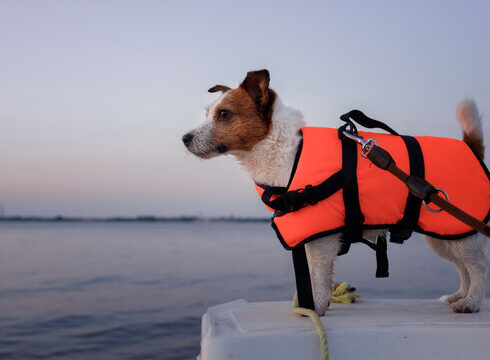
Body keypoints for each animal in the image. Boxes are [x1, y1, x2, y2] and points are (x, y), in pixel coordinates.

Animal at [182, 69, 488, 316]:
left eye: (224, 114)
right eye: (208, 113)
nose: (184, 138)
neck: (286, 151)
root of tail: (471, 147)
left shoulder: (322, 239)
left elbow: (318, 276)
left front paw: (315, 307)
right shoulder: (307, 234)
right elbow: (309, 275)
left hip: (461, 235)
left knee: (479, 268)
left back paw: (471, 303)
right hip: (445, 236)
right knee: (463, 268)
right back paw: (459, 295)